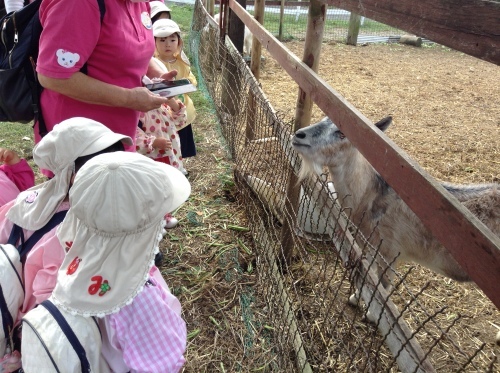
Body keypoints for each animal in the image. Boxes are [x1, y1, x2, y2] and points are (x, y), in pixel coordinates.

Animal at [292, 115, 500, 322]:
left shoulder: (390, 250)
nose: (299, 135)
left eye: (342, 133)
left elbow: (381, 285)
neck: (372, 197)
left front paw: (371, 314)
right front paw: (356, 298)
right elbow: (368, 274)